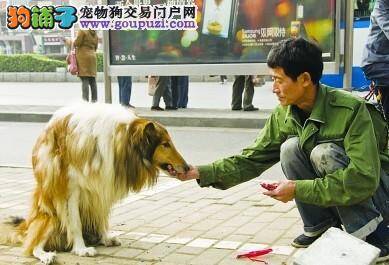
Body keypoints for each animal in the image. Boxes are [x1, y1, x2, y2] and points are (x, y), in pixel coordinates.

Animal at [0, 102, 188, 262]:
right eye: (165, 144)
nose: (187, 167)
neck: (121, 140)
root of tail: (25, 225)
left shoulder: (102, 185)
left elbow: (102, 217)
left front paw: (105, 237)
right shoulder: (71, 189)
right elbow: (75, 222)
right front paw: (81, 249)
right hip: (50, 215)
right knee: (32, 246)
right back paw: (47, 255)